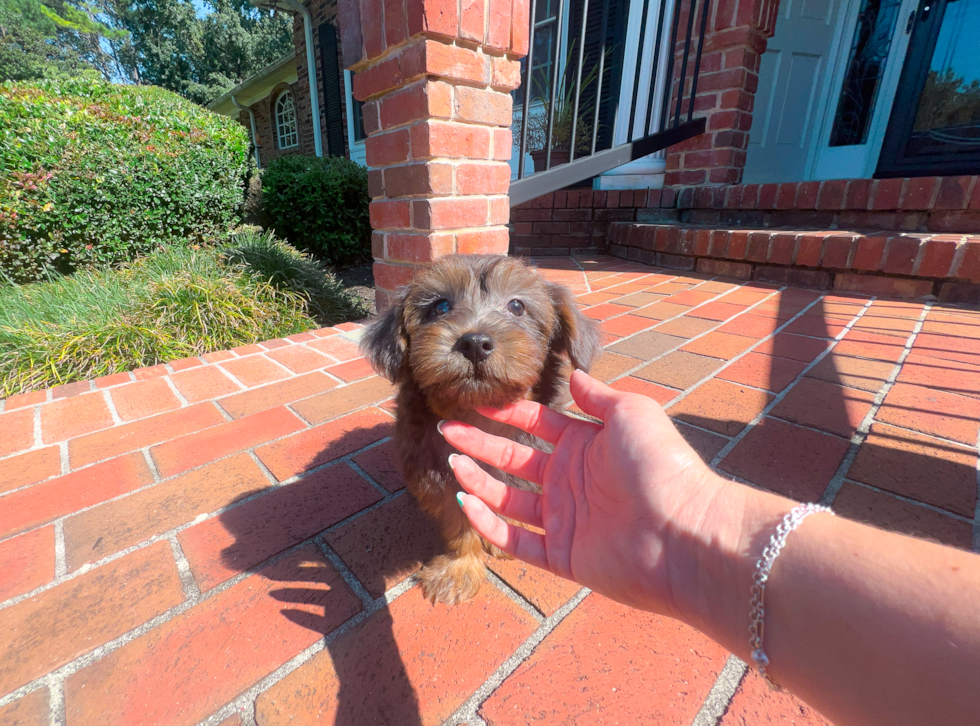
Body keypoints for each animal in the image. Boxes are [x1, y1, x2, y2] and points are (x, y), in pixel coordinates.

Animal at [362, 253, 604, 604]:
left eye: (517, 306)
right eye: (441, 306)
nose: (475, 342)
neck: (478, 414)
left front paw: (504, 531)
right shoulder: (442, 476)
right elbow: (459, 522)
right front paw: (459, 568)